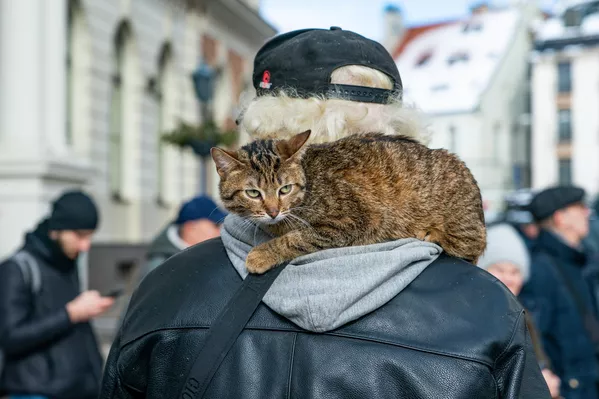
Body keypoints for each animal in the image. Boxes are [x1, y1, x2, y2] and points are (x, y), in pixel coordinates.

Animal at [211, 131, 488, 276]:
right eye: (253, 193)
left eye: (285, 189)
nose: (272, 211)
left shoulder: (353, 222)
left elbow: (297, 238)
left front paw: (261, 254)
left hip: (463, 226)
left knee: (472, 245)